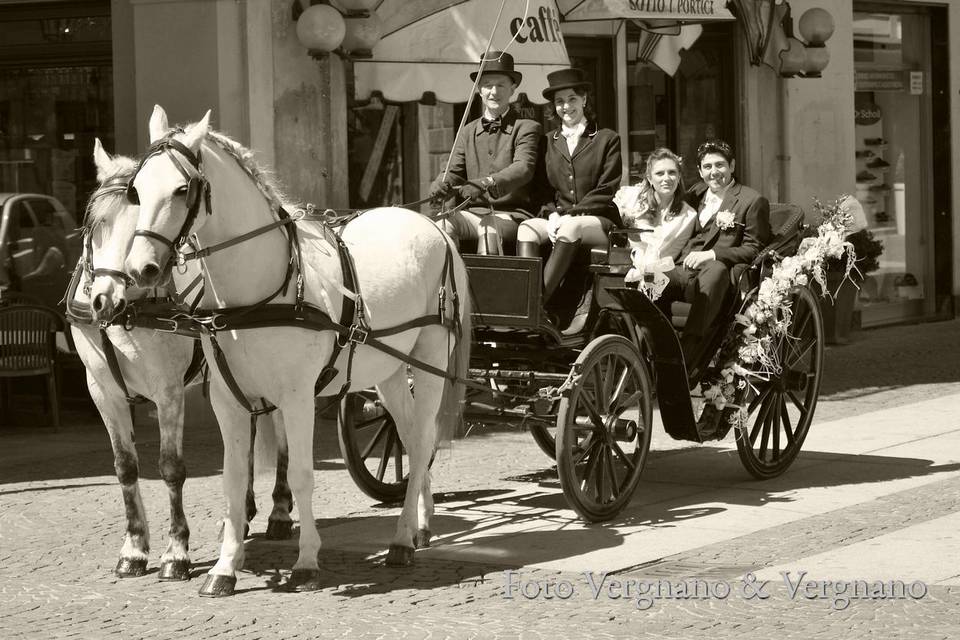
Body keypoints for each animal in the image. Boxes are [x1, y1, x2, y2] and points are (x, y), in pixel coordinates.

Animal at [70, 139, 294, 580]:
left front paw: (176, 552)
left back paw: (278, 510)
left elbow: (171, 467)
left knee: (279, 435)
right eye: (95, 225)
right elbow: (125, 467)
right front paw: (134, 549)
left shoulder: (169, 391)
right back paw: (239, 513)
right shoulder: (102, 391)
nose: (104, 299)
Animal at [124, 107, 472, 596]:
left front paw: (307, 562)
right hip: (388, 372)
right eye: (136, 190)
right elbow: (233, 481)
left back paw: (402, 541)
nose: (141, 269)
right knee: (408, 438)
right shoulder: (228, 401)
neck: (259, 291)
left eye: (181, 189)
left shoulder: (297, 398)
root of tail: (434, 227)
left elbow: (304, 475)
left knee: (423, 442)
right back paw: (419, 525)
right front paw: (224, 568)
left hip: (431, 361)